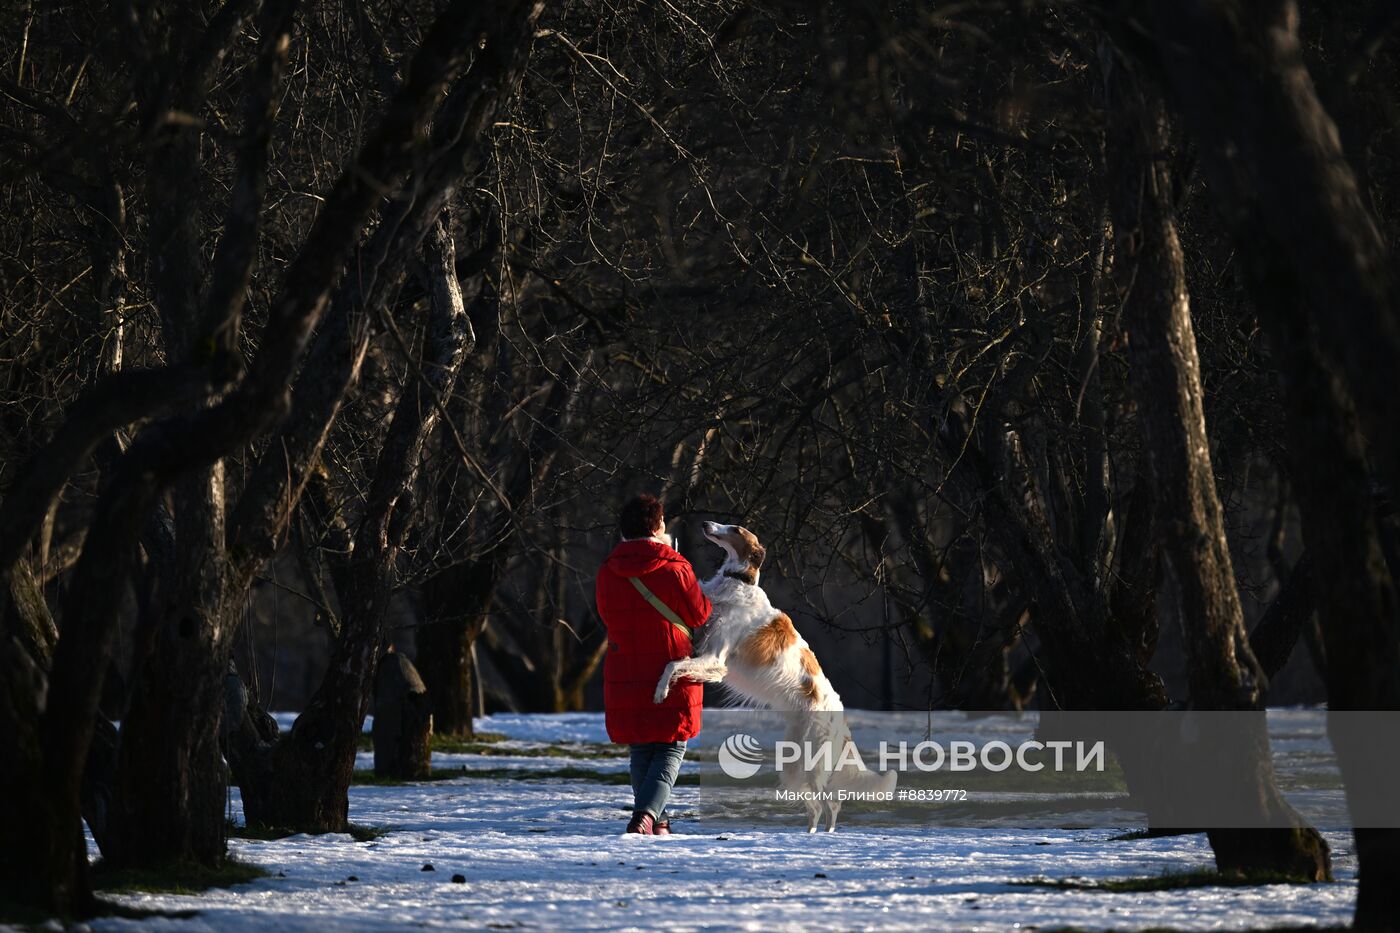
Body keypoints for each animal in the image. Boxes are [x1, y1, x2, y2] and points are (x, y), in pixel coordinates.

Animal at [649, 518, 890, 829]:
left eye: (735, 529)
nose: (705, 522)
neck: (738, 581)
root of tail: (841, 718)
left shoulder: (716, 658)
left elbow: (672, 665)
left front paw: (661, 691)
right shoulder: (704, 644)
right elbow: (677, 663)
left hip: (812, 763)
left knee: (830, 803)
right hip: (794, 762)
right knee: (816, 806)